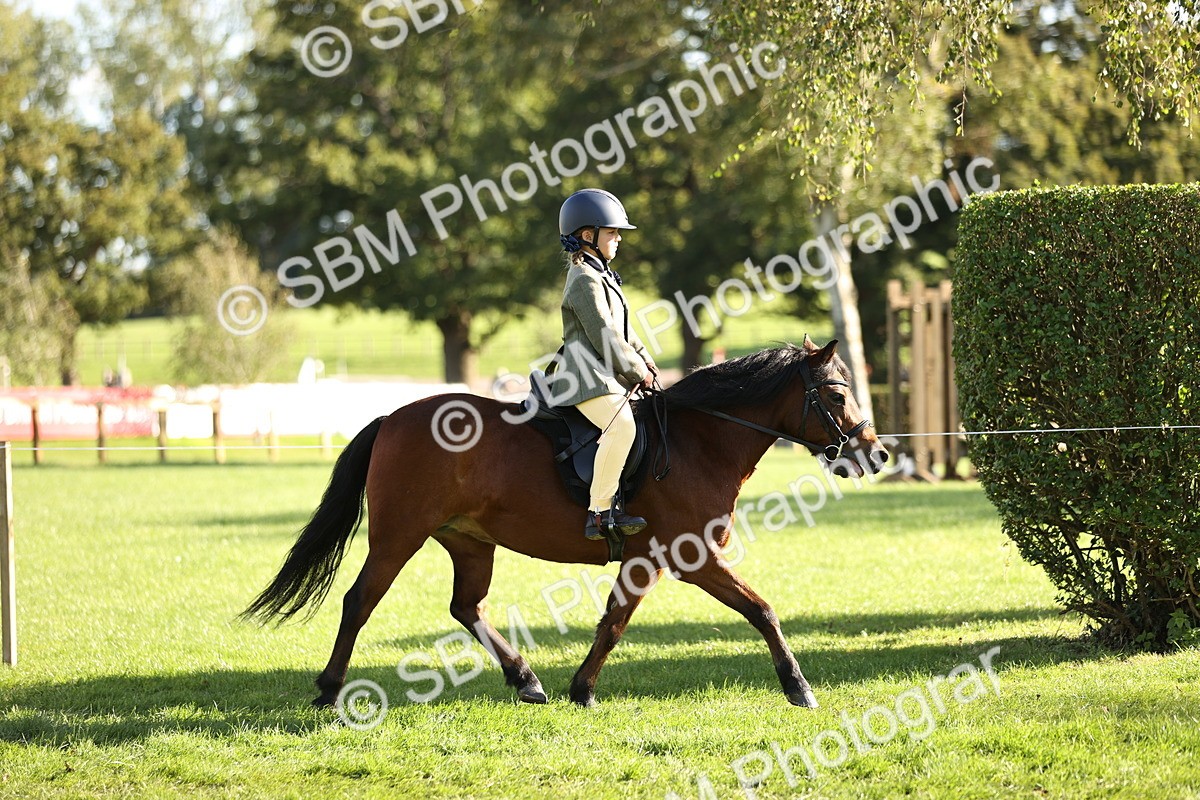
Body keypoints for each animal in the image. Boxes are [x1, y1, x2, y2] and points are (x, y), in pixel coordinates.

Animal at [243, 337, 888, 709]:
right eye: (836, 393)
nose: (876, 454)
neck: (699, 440)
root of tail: (392, 417)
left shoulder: (647, 559)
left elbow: (613, 622)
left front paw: (580, 690)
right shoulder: (690, 557)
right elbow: (760, 609)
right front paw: (798, 687)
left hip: (470, 542)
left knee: (466, 607)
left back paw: (526, 679)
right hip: (398, 537)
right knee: (360, 601)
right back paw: (329, 691)